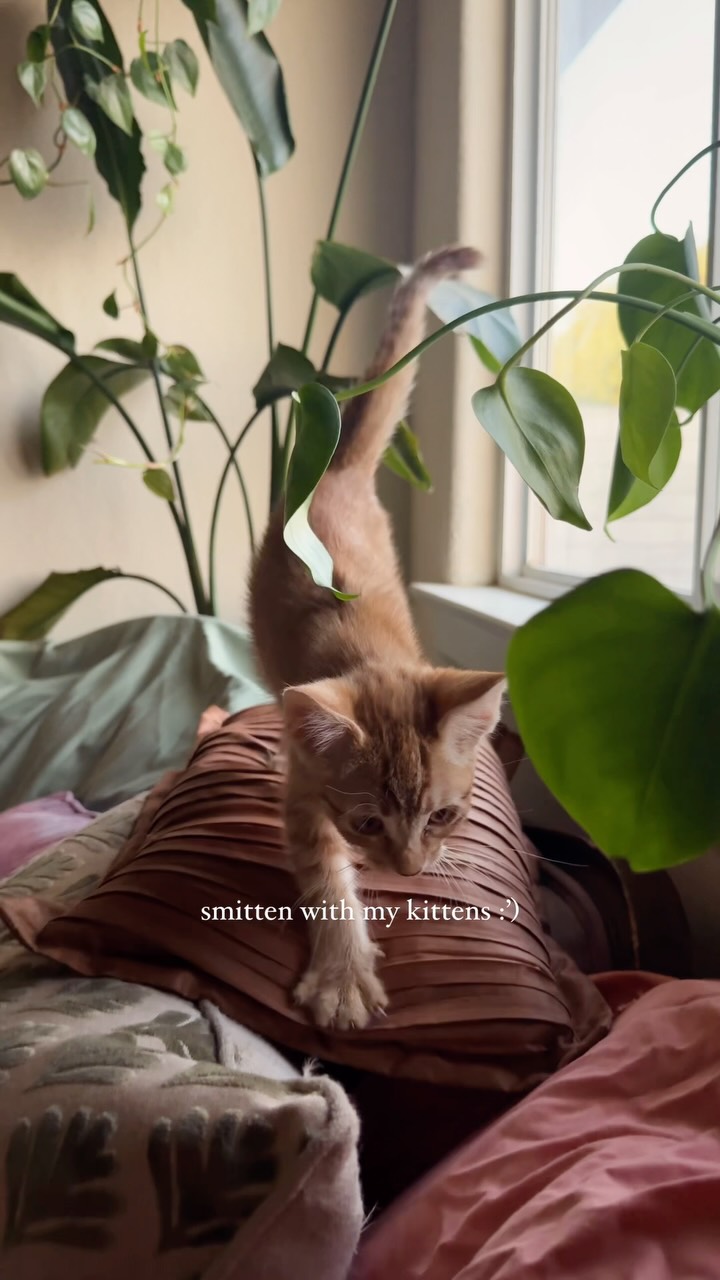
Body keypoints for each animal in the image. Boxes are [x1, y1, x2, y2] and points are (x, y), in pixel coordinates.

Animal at [249, 246, 505, 1030]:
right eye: (365, 823)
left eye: (445, 815)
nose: (412, 869)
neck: (370, 658)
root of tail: (334, 469)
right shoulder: (308, 798)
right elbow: (324, 874)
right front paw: (343, 975)